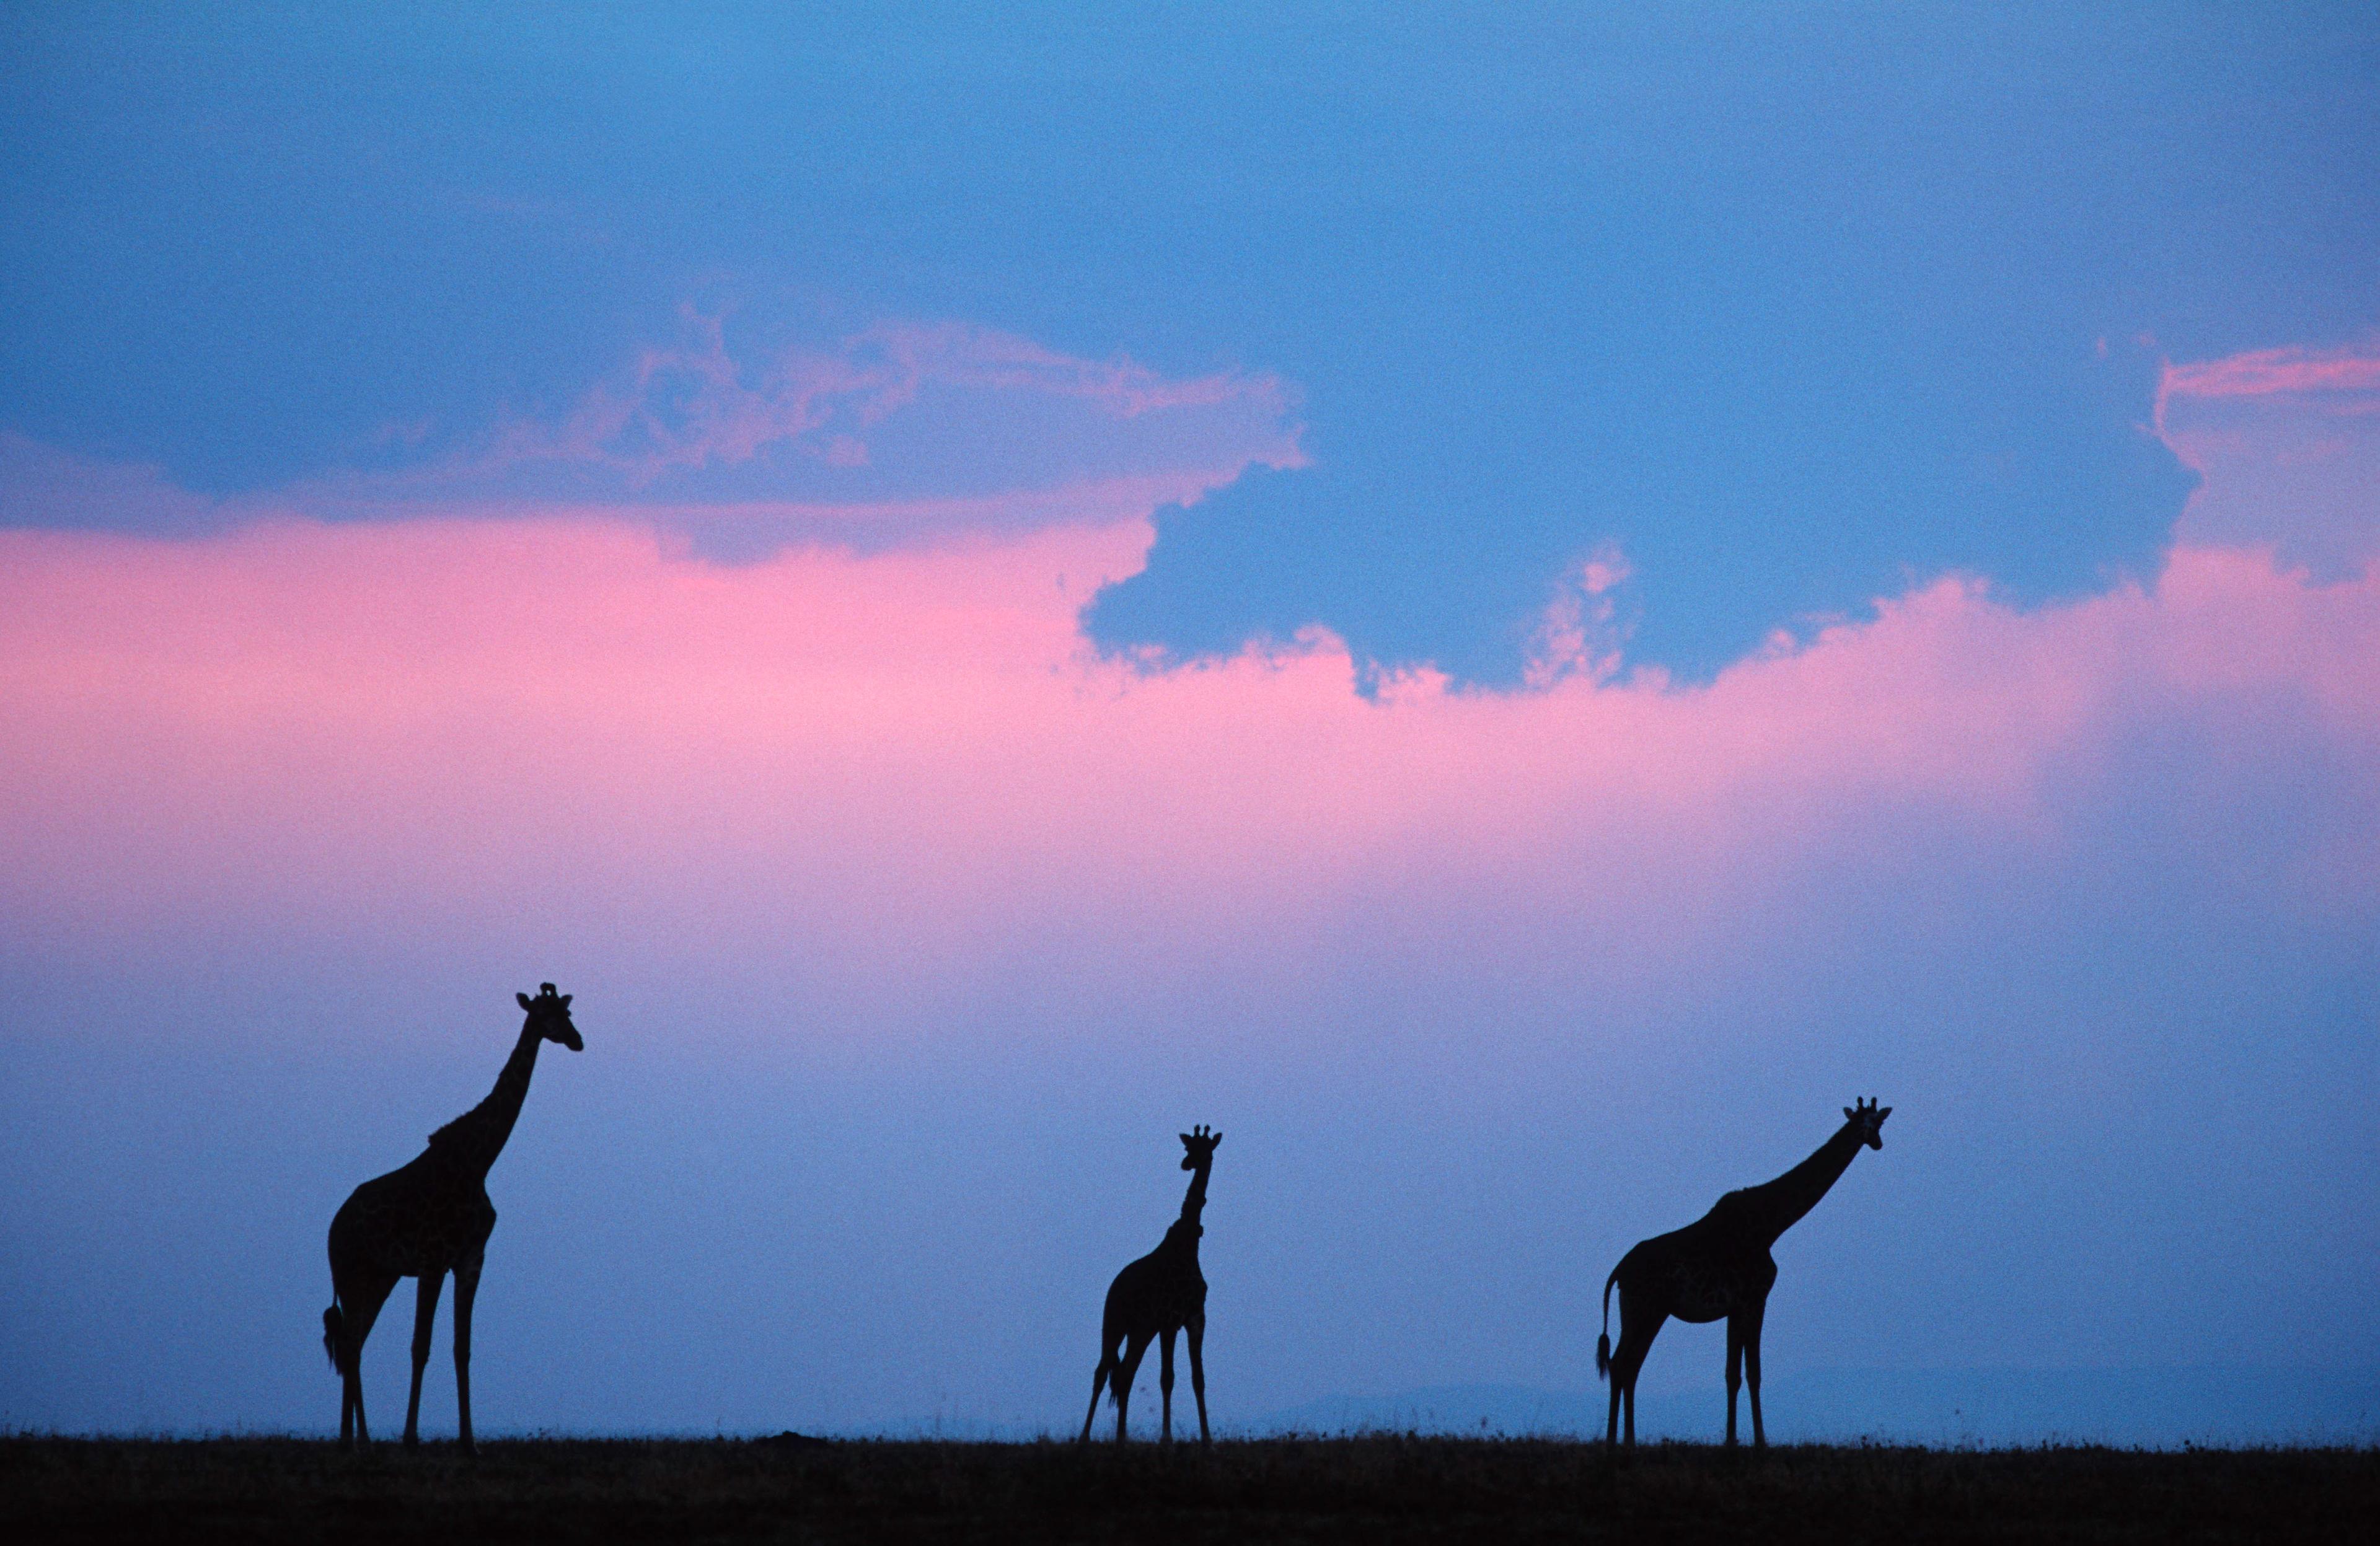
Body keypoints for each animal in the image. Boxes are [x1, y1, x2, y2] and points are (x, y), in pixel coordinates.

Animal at [321, 984, 584, 1451]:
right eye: (544, 1014)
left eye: (568, 1012)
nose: (577, 1041)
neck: (478, 1164)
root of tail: (333, 1226)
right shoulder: (432, 1260)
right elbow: (420, 1345)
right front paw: (410, 1438)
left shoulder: (471, 1259)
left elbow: (463, 1348)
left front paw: (469, 1442)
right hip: (352, 1271)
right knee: (351, 1344)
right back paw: (357, 1441)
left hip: (380, 1277)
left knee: (353, 1344)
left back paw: (356, 1440)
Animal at [1080, 1125, 1221, 1444]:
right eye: (1188, 1149)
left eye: (1205, 1150)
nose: (1186, 1164)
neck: (1189, 1245)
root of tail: (1113, 1286)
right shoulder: (1169, 1321)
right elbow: (1167, 1378)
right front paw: (1166, 1440)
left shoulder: (1196, 1318)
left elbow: (1199, 1379)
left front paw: (1208, 1441)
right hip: (1115, 1322)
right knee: (1102, 1371)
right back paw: (1085, 1439)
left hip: (1141, 1330)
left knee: (1125, 1374)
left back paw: (1122, 1439)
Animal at [1595, 1098, 1891, 1449]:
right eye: (1864, 1123)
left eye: (1880, 1123)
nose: (1877, 1143)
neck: (1771, 1226)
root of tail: (1618, 1272)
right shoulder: (1755, 1299)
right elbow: (1754, 1372)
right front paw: (1760, 1441)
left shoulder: (1734, 1308)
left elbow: (1732, 1374)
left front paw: (1732, 1440)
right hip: (1645, 1309)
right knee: (1621, 1363)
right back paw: (1614, 1442)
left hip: (1648, 1311)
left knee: (1627, 1365)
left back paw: (1626, 1440)